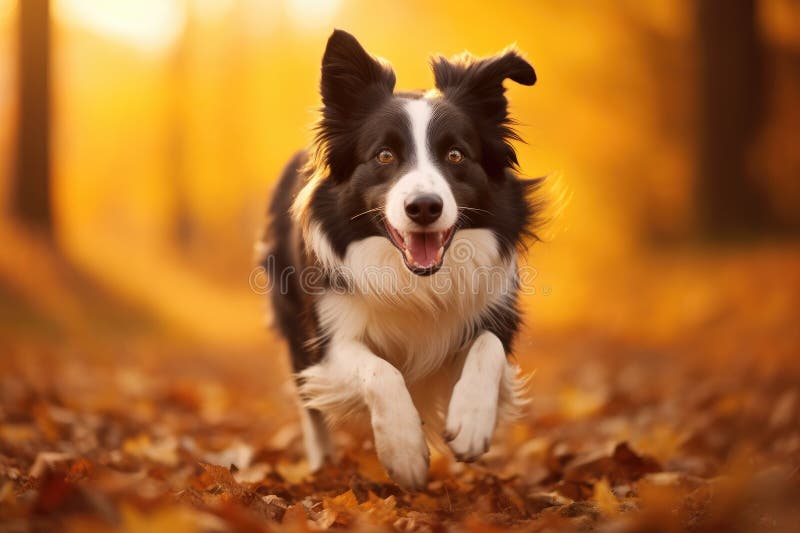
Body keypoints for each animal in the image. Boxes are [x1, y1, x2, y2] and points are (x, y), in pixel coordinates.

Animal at [260, 28, 540, 486]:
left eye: (456, 155)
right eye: (384, 155)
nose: (424, 207)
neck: (415, 280)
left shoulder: (497, 310)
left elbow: (487, 348)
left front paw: (471, 422)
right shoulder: (329, 335)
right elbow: (380, 371)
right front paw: (404, 451)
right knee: (310, 406)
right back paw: (322, 465)